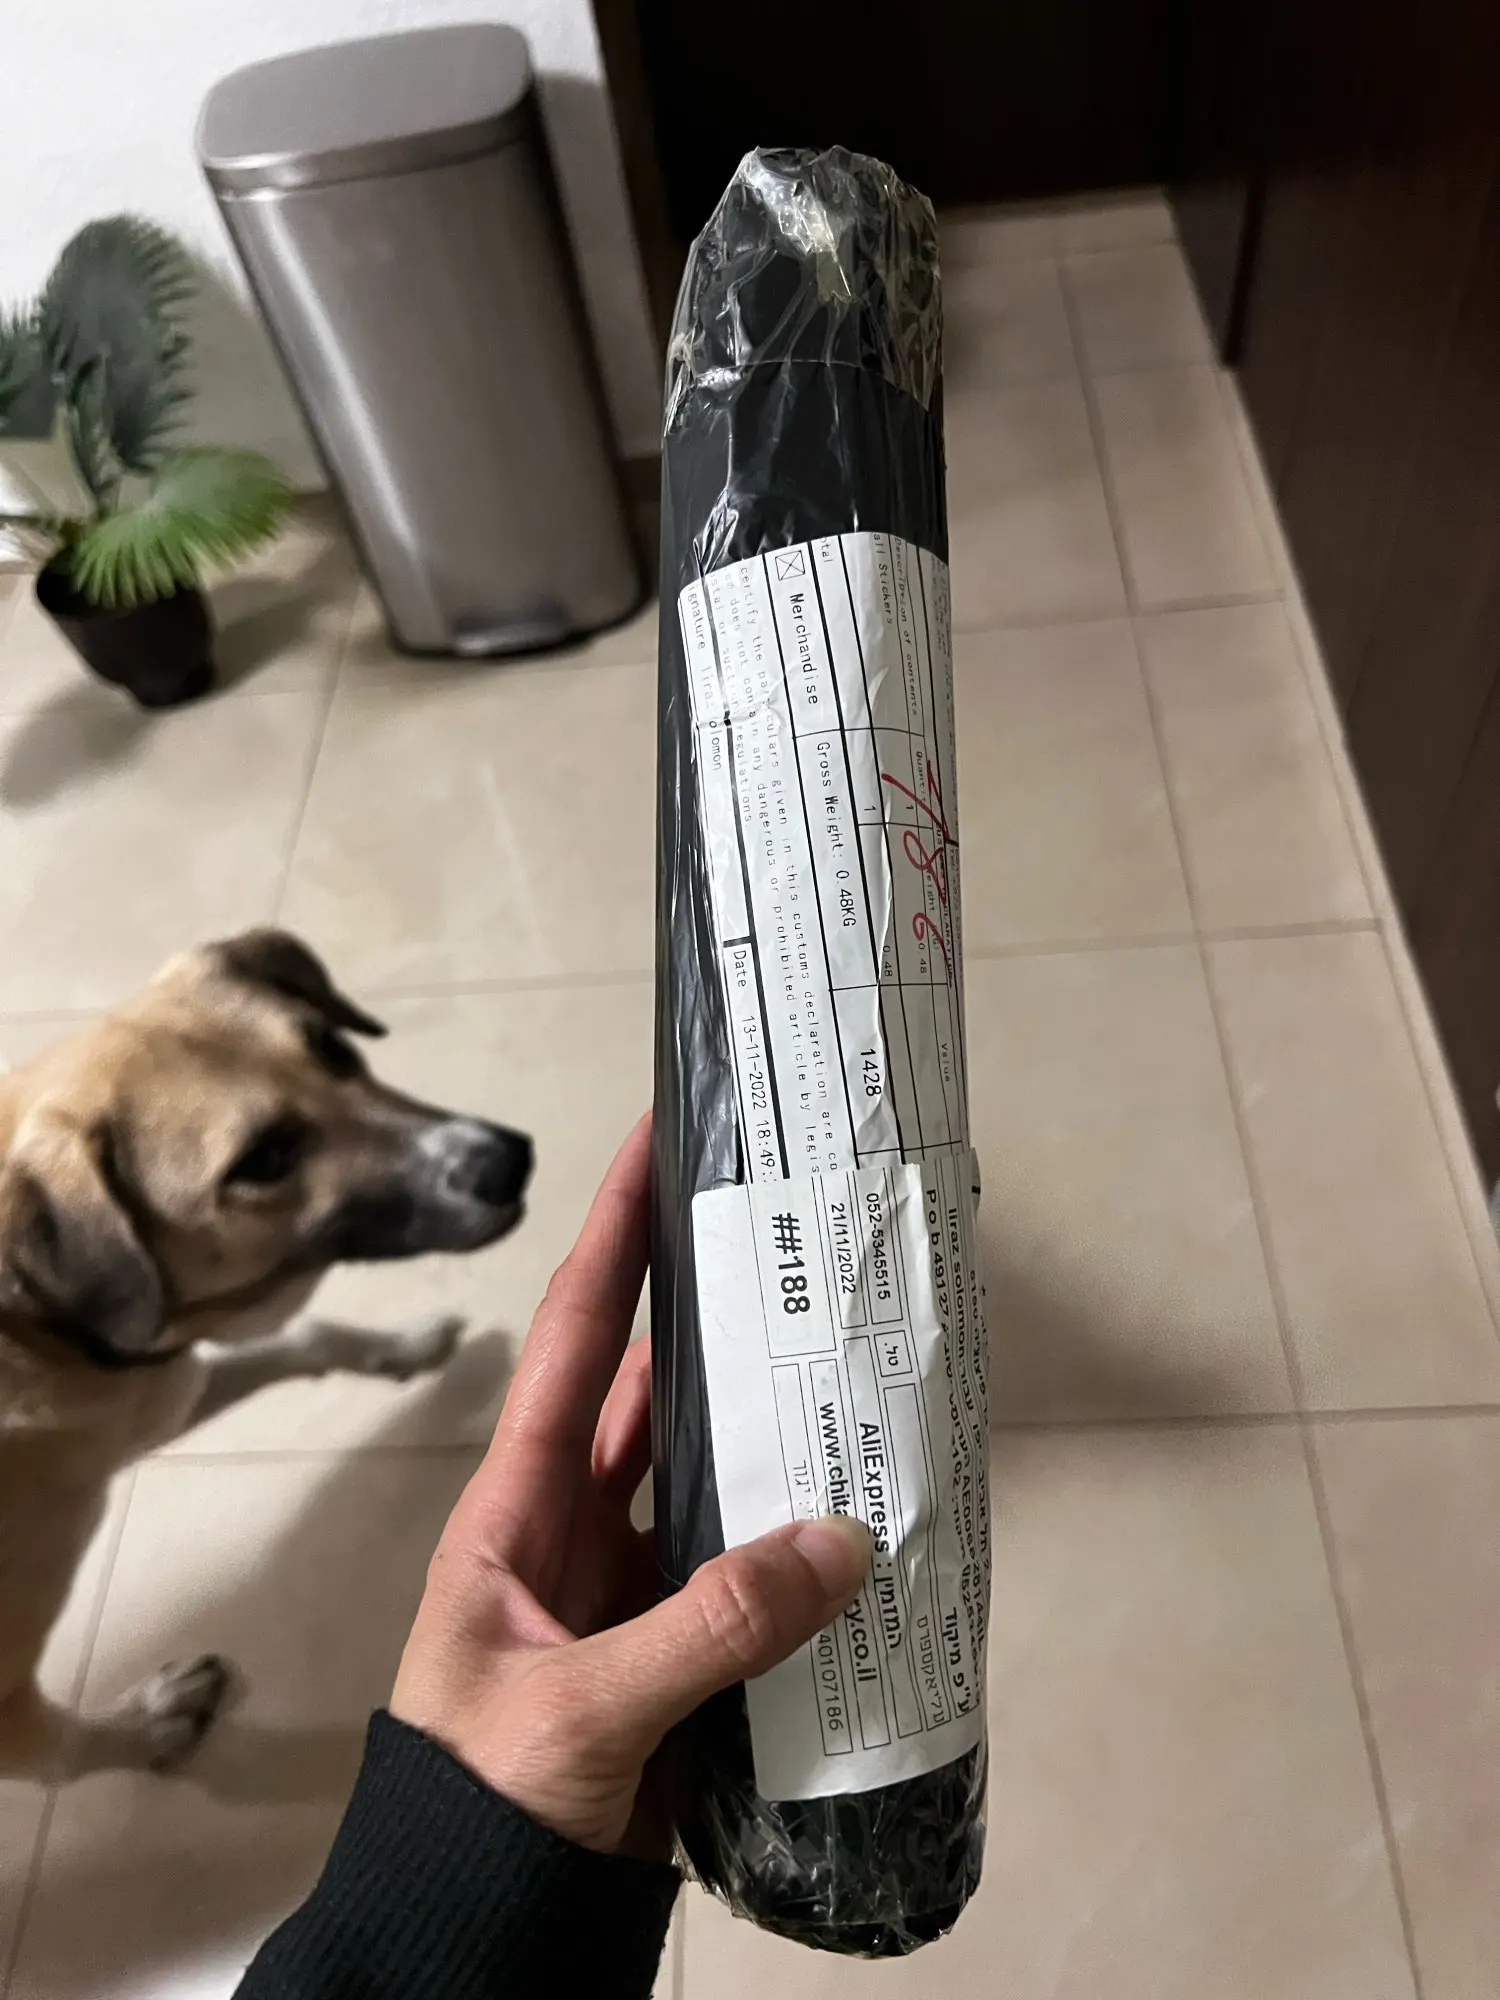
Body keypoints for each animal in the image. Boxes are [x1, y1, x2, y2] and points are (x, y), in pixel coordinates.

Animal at [0, 928, 532, 1779]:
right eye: (264, 1160)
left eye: (333, 1045)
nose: (509, 1159)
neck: (37, 1327)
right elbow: (68, 1749)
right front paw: (152, 1724)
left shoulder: (152, 1395)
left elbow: (302, 1340)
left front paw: (406, 1346)